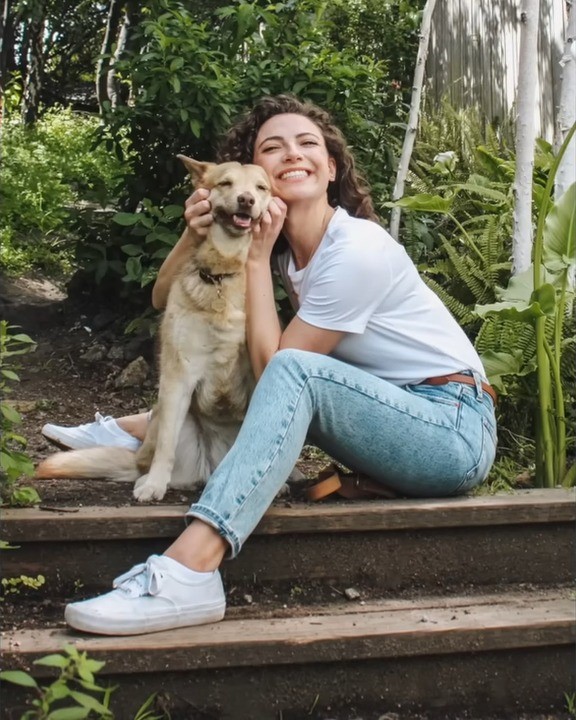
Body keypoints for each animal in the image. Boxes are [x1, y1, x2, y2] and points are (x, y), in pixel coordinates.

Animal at [37, 159, 274, 500]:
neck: (222, 274)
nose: (246, 200)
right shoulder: (179, 376)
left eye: (260, 188)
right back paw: (152, 479)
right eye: (226, 184)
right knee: (164, 452)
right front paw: (153, 486)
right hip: (174, 417)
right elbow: (166, 445)